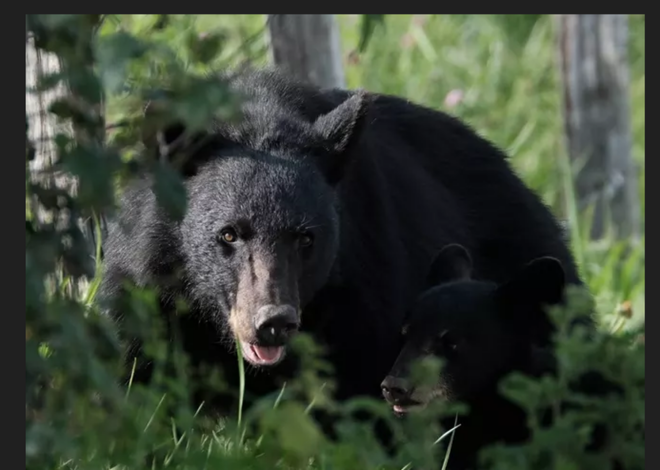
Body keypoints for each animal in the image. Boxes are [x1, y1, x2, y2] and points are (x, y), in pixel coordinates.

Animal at [98, 67, 588, 425]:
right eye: (229, 234)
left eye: (306, 238)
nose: (272, 323)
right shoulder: (147, 284)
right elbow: (140, 376)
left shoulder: (366, 289)